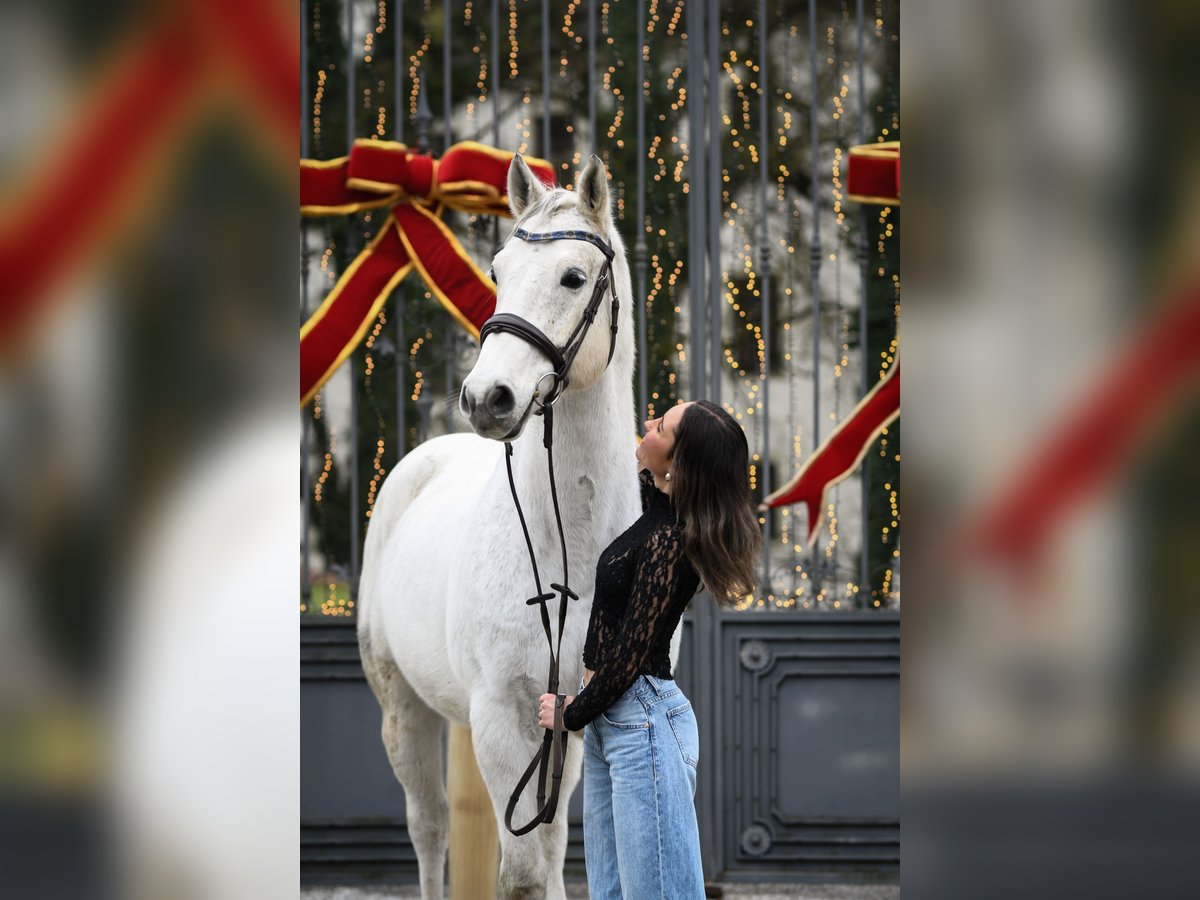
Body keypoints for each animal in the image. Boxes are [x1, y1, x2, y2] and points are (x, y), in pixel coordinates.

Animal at [357, 157, 648, 900]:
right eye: (497, 269)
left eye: (573, 277)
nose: (486, 399)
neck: (570, 551)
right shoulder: (497, 715)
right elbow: (522, 874)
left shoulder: (572, 714)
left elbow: (550, 851)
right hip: (403, 710)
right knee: (429, 829)